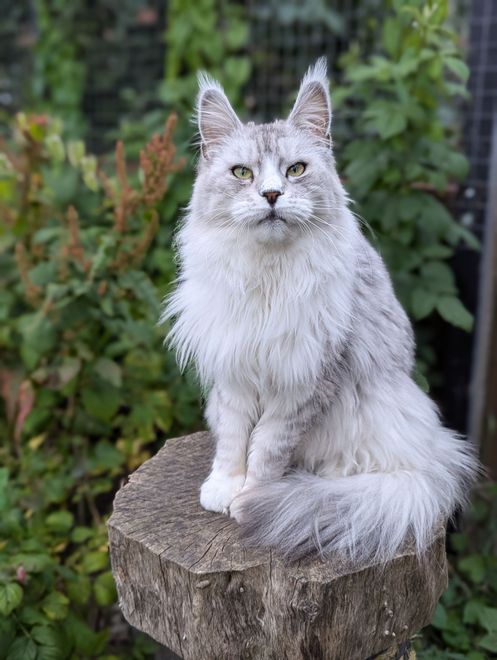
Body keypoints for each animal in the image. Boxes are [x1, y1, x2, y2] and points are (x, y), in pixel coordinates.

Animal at [162, 59, 476, 564]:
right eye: (242, 173)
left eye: (295, 170)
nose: (272, 195)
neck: (268, 276)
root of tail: (435, 453)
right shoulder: (234, 373)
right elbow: (232, 440)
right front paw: (223, 488)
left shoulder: (304, 381)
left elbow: (267, 448)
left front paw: (251, 497)